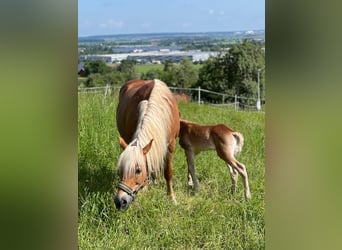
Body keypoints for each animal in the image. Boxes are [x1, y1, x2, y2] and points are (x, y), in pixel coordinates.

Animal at [114, 79, 180, 210]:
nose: (120, 201)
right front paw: (145, 190)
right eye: (121, 168)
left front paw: (172, 198)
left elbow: (168, 173)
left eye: (138, 170)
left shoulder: (171, 146)